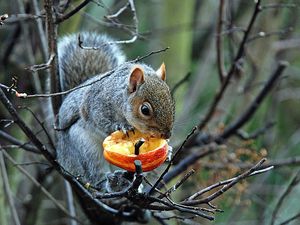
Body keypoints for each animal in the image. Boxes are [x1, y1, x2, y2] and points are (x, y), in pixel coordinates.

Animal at [55, 31, 176, 186]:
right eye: (145, 110)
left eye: (171, 102)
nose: (166, 135)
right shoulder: (96, 105)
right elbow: (99, 121)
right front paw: (121, 126)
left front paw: (169, 150)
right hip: (84, 148)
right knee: (94, 174)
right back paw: (109, 183)